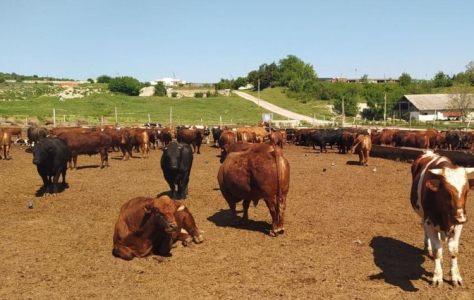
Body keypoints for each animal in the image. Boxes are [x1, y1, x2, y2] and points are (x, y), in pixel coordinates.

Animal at [408, 152, 474, 286]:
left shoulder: (457, 225)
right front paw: (437, 276)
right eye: (446, 192)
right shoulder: (429, 221)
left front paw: (455, 276)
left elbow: (453, 250)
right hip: (424, 216)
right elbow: (437, 250)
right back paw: (427, 247)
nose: (461, 218)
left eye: (466, 192)